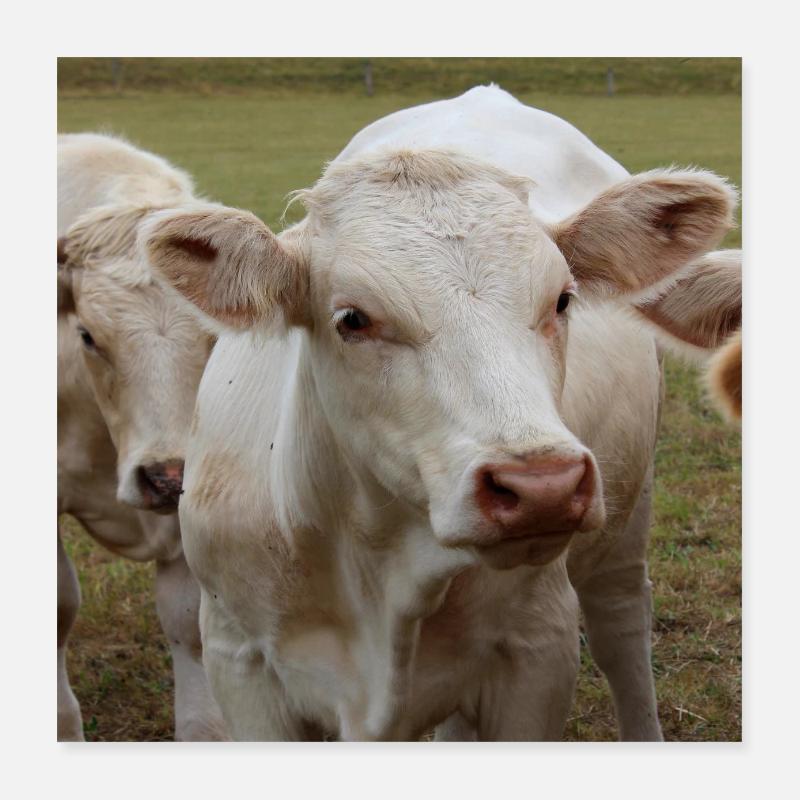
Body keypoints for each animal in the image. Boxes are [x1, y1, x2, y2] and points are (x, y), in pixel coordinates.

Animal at [141, 86, 738, 741]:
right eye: (352, 318)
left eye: (562, 300)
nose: (543, 486)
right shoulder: (238, 658)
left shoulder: (538, 647)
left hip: (625, 525)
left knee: (622, 630)